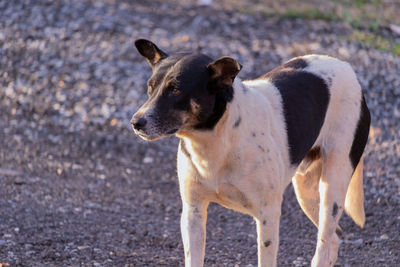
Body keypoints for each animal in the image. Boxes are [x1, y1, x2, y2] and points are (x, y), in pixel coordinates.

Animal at [132, 38, 372, 267]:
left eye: (176, 90)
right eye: (150, 87)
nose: (136, 122)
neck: (215, 140)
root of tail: (348, 69)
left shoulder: (268, 215)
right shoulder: (193, 212)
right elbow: (194, 259)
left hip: (333, 186)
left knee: (324, 244)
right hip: (306, 189)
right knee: (334, 237)